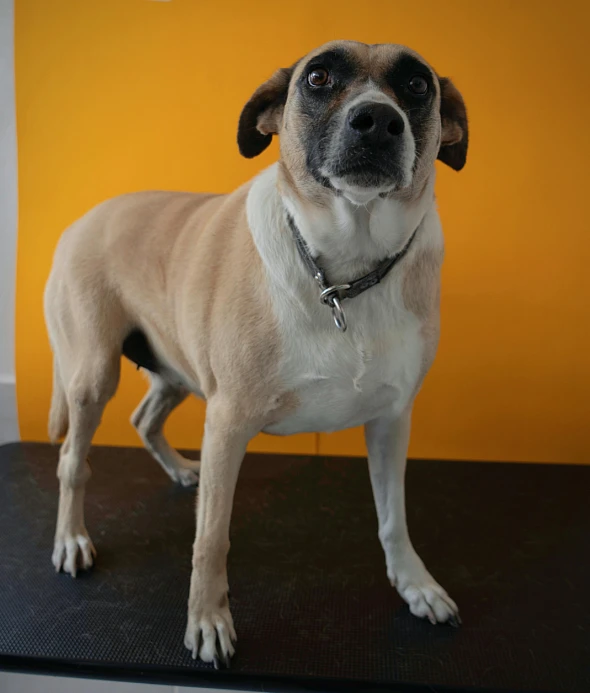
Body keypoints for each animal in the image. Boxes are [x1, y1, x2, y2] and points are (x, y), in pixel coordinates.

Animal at [44, 39, 470, 664]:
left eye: (416, 85)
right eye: (318, 77)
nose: (376, 120)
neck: (342, 274)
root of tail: (82, 220)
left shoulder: (392, 420)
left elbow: (394, 518)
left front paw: (414, 584)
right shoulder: (228, 423)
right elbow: (210, 538)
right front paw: (207, 619)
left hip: (175, 369)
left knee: (144, 418)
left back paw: (181, 471)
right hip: (92, 377)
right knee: (74, 461)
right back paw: (73, 539)